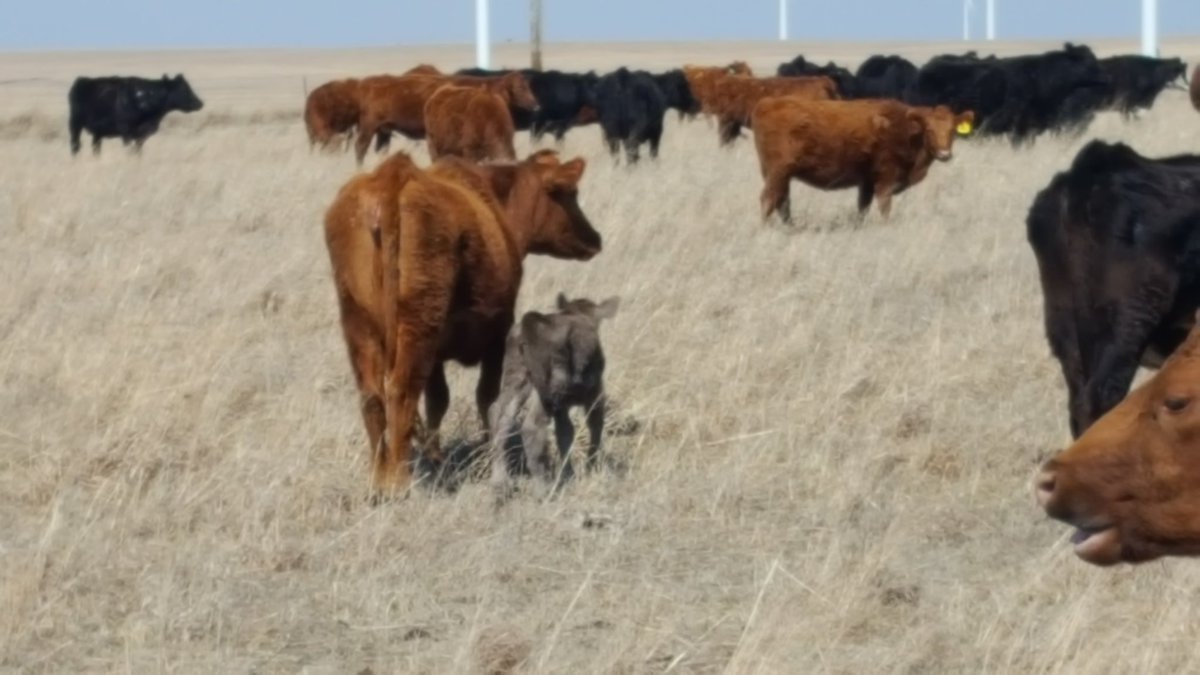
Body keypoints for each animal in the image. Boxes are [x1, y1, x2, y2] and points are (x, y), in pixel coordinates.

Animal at [67, 74, 203, 156]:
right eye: (184, 89)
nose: (200, 103)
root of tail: (82, 79)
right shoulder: (126, 131)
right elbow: (130, 151)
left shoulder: (141, 135)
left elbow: (138, 152)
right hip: (75, 124)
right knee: (75, 145)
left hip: (98, 131)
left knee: (96, 148)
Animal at [323, 149, 602, 495]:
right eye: (570, 194)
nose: (595, 238)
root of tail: (393, 175)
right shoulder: (498, 333)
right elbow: (488, 398)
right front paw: (490, 453)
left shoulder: (437, 355)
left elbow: (438, 400)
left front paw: (436, 457)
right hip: (417, 326)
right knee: (402, 392)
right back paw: (398, 482)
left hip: (359, 322)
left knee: (373, 396)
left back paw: (379, 479)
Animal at [354, 72, 537, 164]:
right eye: (520, 88)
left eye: (528, 86)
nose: (535, 104)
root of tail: (366, 82)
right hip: (369, 127)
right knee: (360, 147)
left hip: (383, 131)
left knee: (380, 149)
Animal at [489, 293, 619, 496]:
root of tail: (527, 327)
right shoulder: (595, 391)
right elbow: (595, 425)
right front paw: (591, 467)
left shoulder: (562, 406)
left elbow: (565, 433)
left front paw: (568, 474)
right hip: (549, 388)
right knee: (531, 426)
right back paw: (542, 489)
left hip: (518, 376)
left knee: (499, 414)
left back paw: (499, 481)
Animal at [752, 97, 973, 223]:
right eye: (929, 129)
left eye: (952, 130)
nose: (944, 154)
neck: (905, 128)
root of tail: (765, 104)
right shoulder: (886, 180)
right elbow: (884, 206)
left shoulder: (866, 182)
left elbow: (862, 208)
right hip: (778, 172)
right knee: (768, 200)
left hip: (781, 176)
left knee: (782, 201)